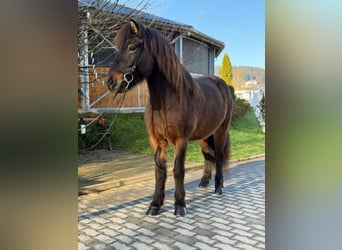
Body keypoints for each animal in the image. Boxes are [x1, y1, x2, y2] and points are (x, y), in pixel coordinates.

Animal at [108, 19, 234, 216]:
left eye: (132, 47)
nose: (111, 82)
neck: (166, 101)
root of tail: (222, 85)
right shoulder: (156, 141)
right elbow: (160, 172)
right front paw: (155, 205)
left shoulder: (180, 140)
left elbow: (178, 171)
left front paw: (180, 205)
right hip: (204, 135)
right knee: (208, 155)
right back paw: (204, 182)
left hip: (221, 130)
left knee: (219, 155)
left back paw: (218, 186)